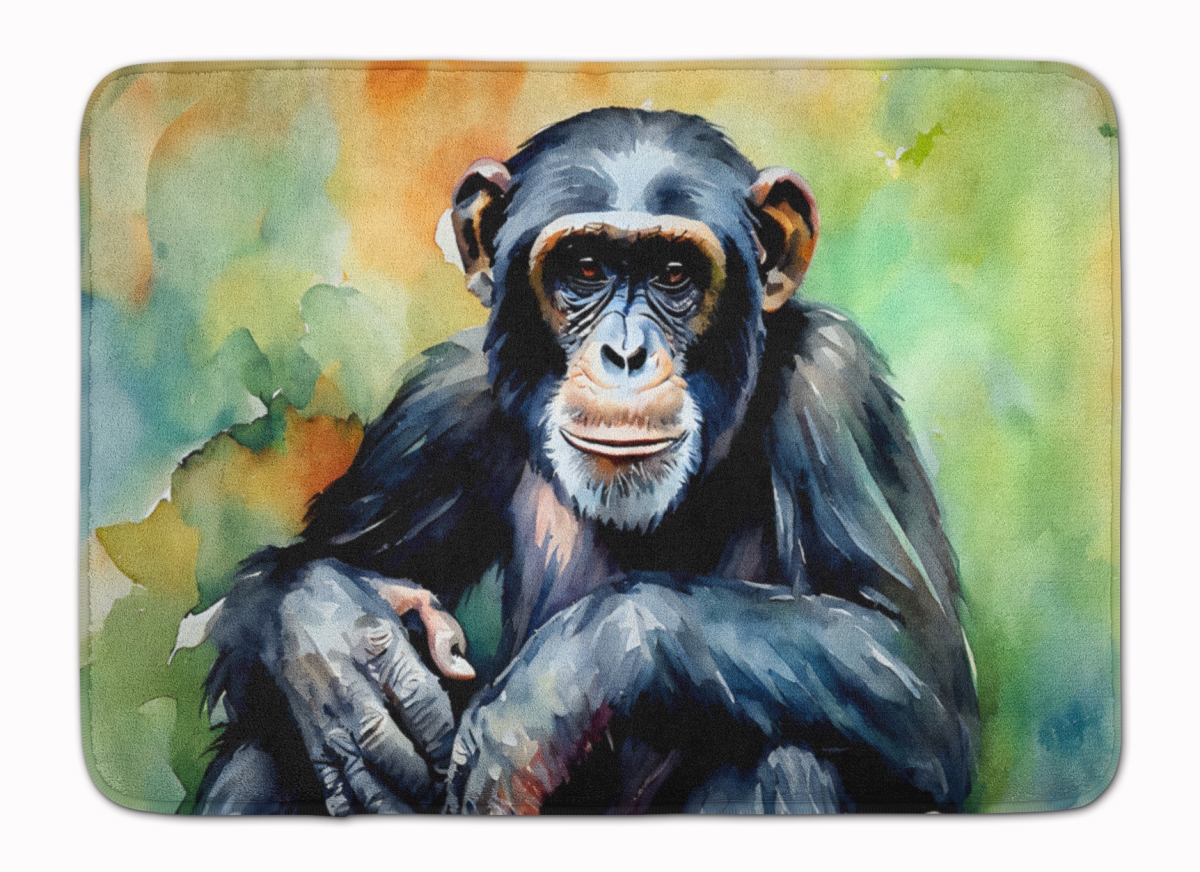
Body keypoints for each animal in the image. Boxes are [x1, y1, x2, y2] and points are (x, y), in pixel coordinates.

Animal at [195, 108, 978, 814]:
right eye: (586, 268)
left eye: (674, 274)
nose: (624, 353)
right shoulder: (439, 404)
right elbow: (301, 567)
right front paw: (336, 648)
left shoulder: (837, 384)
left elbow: (915, 667)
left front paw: (554, 688)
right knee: (265, 745)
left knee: (790, 755)